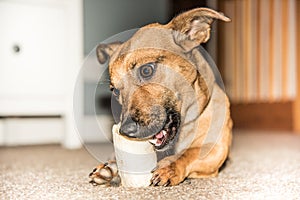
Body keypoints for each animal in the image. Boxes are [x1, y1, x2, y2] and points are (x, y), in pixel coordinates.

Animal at [88, 7, 232, 186]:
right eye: (115, 91)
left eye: (146, 70)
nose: (126, 131)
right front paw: (111, 167)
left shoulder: (216, 149)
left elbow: (190, 153)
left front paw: (170, 167)